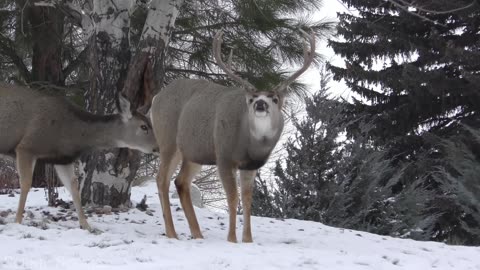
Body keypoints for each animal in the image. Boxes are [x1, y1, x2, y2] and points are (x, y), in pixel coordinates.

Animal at [0, 84, 158, 230]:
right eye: (144, 126)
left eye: (150, 123)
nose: (157, 147)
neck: (71, 132)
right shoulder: (26, 147)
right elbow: (26, 184)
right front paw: (17, 221)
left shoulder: (63, 159)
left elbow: (74, 188)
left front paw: (86, 225)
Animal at [150, 30, 316, 243]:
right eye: (251, 99)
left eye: (274, 98)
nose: (260, 104)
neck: (250, 144)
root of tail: (156, 98)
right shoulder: (224, 156)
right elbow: (232, 197)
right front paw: (232, 239)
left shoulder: (251, 165)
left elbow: (246, 199)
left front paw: (248, 240)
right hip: (168, 138)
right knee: (162, 178)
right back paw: (172, 233)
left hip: (194, 151)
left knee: (180, 181)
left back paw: (197, 234)